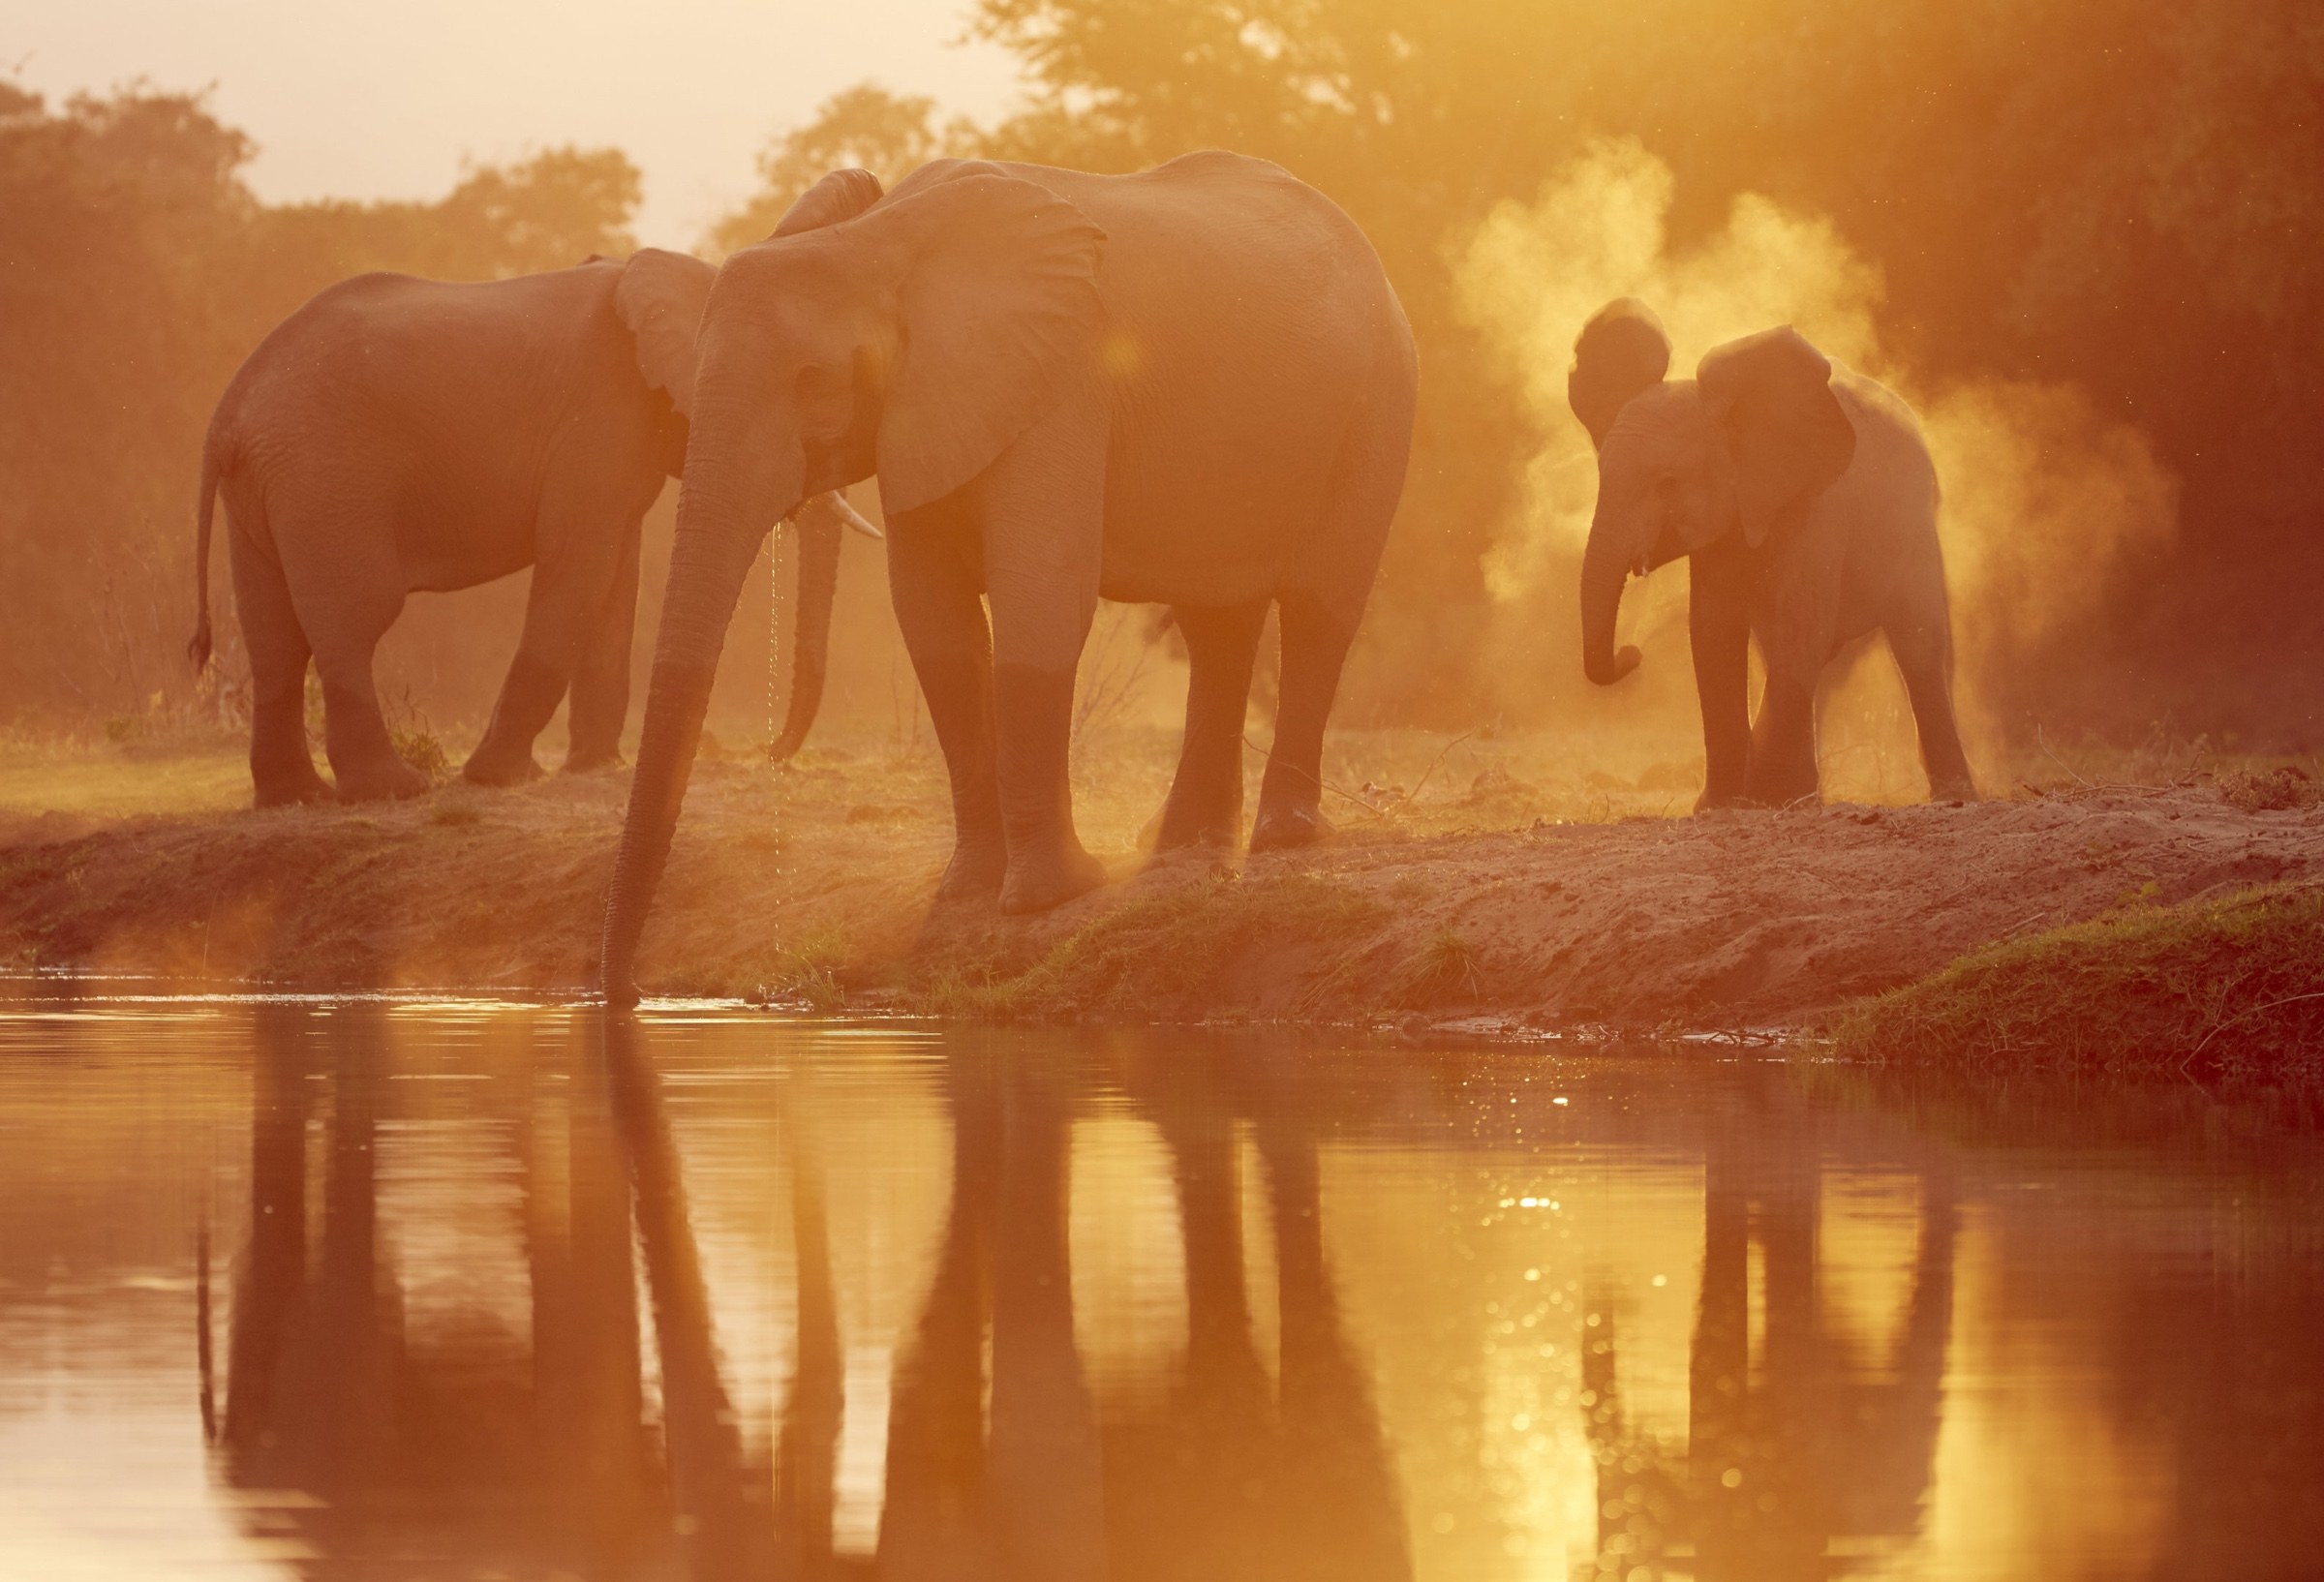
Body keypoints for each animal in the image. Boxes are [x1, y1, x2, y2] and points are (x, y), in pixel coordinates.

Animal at [188, 251, 878, 807]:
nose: (767, 754)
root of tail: (228, 411)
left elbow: (616, 577)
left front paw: (595, 767)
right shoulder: (599, 414)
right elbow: (581, 563)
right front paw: (499, 779)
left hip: (269, 487)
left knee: (273, 636)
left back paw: (294, 799)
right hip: (326, 476)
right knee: (355, 617)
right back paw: (394, 791)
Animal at [598, 152, 1417, 1001]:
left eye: (814, 381)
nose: (624, 992)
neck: (875, 243)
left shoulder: (1060, 384)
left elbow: (1041, 603)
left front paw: (1052, 895)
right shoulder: (924, 412)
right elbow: (935, 626)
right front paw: (966, 893)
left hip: (1378, 407)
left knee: (1321, 608)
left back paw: (1283, 840)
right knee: (1215, 623)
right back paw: (1177, 845)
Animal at [1569, 298, 1977, 808]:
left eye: (1667, 484)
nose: (1632, 653)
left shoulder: (1817, 505)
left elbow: (1797, 625)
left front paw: (1765, 799)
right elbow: (1713, 631)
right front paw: (1722, 806)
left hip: (1915, 525)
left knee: (1919, 646)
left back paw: (1954, 797)